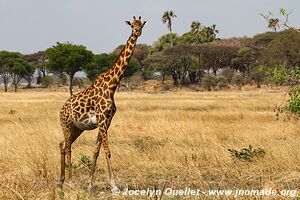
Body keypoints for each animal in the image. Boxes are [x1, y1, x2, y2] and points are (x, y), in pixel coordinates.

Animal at [58, 16, 147, 193]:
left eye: (141, 25)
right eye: (132, 25)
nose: (137, 32)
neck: (112, 86)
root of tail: (60, 110)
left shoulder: (107, 121)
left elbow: (96, 152)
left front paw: (89, 185)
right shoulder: (101, 120)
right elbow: (107, 152)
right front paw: (114, 187)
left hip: (76, 128)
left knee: (63, 145)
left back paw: (62, 181)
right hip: (66, 125)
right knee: (68, 147)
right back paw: (70, 181)